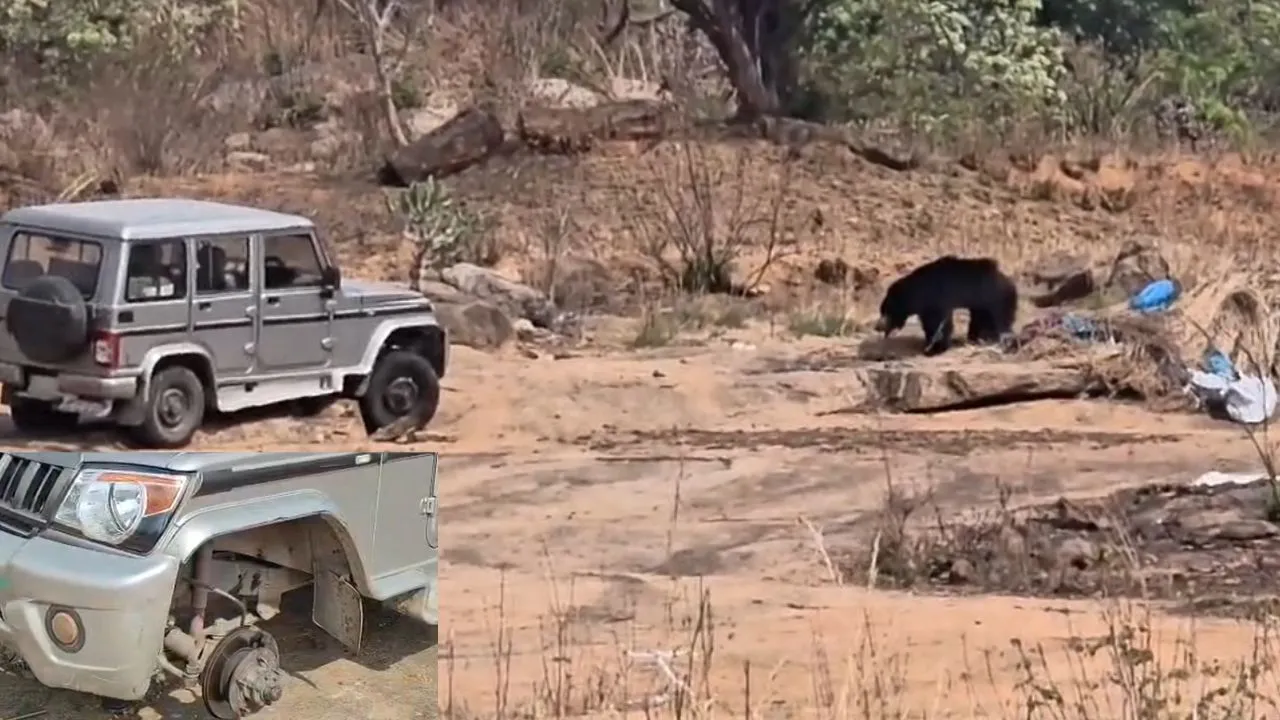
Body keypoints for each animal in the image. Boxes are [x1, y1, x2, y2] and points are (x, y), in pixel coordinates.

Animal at [873, 256, 1018, 357]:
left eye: (885, 310)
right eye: (882, 310)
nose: (877, 326)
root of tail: (1009, 281)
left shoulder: (936, 298)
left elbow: (937, 323)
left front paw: (934, 348)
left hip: (995, 298)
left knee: (997, 318)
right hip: (982, 303)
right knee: (982, 319)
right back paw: (978, 337)